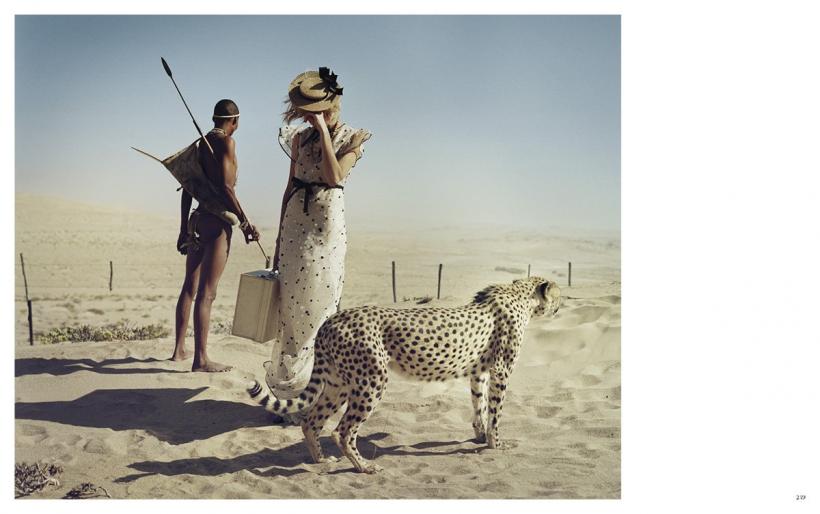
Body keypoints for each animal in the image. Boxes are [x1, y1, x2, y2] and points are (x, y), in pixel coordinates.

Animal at [247, 276, 561, 473]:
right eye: (558, 294)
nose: (562, 303)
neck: (520, 296)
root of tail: (331, 320)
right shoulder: (501, 371)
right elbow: (495, 411)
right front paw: (496, 444)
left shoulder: (479, 372)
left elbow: (479, 405)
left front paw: (480, 436)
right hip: (371, 381)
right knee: (343, 430)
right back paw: (363, 467)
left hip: (339, 382)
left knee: (311, 421)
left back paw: (321, 461)